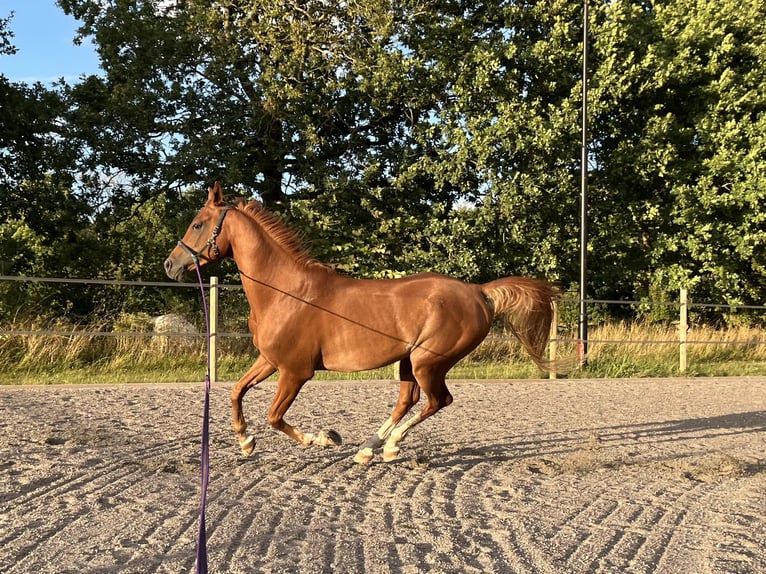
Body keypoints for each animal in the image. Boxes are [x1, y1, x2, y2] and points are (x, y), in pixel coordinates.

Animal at [165, 182, 560, 466]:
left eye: (197, 224)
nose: (170, 265)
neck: (285, 292)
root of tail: (478, 292)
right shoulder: (270, 360)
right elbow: (236, 391)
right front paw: (246, 442)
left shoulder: (295, 371)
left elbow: (274, 416)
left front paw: (324, 438)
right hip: (409, 361)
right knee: (408, 399)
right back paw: (369, 449)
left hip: (428, 362)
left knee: (437, 400)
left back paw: (391, 446)